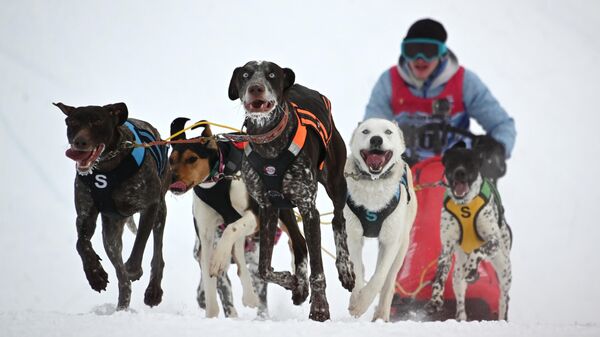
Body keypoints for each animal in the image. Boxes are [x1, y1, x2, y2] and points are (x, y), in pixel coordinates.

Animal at [55, 101, 170, 310]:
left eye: (97, 121)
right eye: (72, 122)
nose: (79, 142)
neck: (107, 167)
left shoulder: (150, 205)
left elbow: (141, 241)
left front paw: (133, 268)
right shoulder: (85, 215)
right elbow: (81, 243)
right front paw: (95, 274)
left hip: (160, 212)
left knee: (157, 253)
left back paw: (153, 290)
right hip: (111, 233)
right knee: (121, 275)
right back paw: (122, 304)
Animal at [227, 60, 354, 320]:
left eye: (271, 74)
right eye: (245, 74)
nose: (255, 88)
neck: (269, 145)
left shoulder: (308, 208)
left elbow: (318, 270)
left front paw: (320, 308)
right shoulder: (267, 208)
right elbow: (264, 269)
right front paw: (292, 280)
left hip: (336, 183)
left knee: (338, 220)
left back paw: (345, 269)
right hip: (284, 208)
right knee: (300, 243)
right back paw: (300, 286)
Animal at [342, 118, 418, 320]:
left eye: (388, 132)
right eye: (366, 131)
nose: (376, 139)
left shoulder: (390, 242)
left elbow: (379, 277)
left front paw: (361, 304)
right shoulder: (352, 236)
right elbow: (358, 270)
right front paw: (356, 299)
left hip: (402, 246)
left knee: (388, 282)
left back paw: (381, 315)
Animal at [424, 140, 512, 318]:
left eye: (470, 163)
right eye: (452, 162)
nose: (460, 173)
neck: (464, 204)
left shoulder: (493, 240)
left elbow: (477, 251)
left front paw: (471, 269)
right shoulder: (447, 249)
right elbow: (439, 277)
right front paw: (435, 300)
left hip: (504, 271)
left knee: (502, 300)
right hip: (457, 276)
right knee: (460, 301)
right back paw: (460, 316)